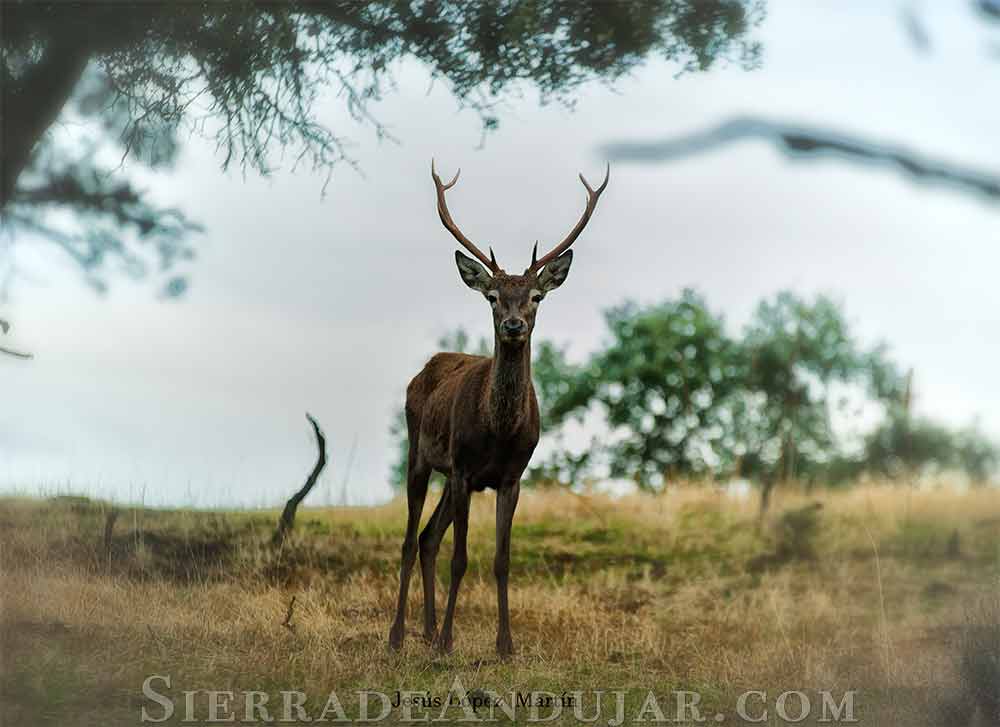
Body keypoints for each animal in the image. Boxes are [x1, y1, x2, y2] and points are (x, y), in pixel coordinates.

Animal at [388, 160, 609, 656]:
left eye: (536, 297)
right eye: (492, 297)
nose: (512, 325)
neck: (500, 432)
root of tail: (422, 371)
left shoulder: (511, 476)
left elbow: (502, 559)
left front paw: (505, 644)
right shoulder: (465, 469)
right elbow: (460, 558)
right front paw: (448, 642)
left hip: (452, 476)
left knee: (428, 537)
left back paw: (426, 630)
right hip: (421, 456)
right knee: (411, 540)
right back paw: (398, 636)